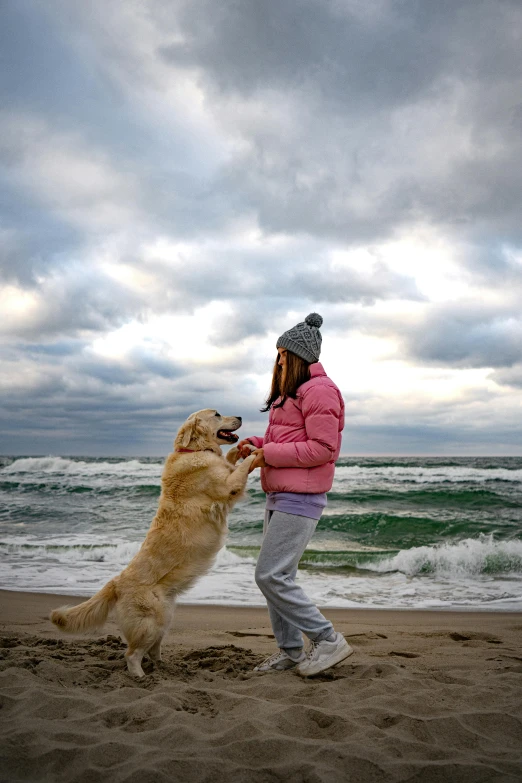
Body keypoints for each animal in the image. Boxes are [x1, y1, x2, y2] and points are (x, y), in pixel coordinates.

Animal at [49, 410, 256, 680]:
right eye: (217, 414)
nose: (240, 416)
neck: (192, 450)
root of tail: (116, 582)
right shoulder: (228, 486)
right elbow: (241, 469)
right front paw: (254, 453)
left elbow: (230, 460)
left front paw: (239, 450)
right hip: (149, 621)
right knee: (132, 654)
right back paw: (140, 677)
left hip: (164, 616)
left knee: (152, 648)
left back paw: (164, 667)